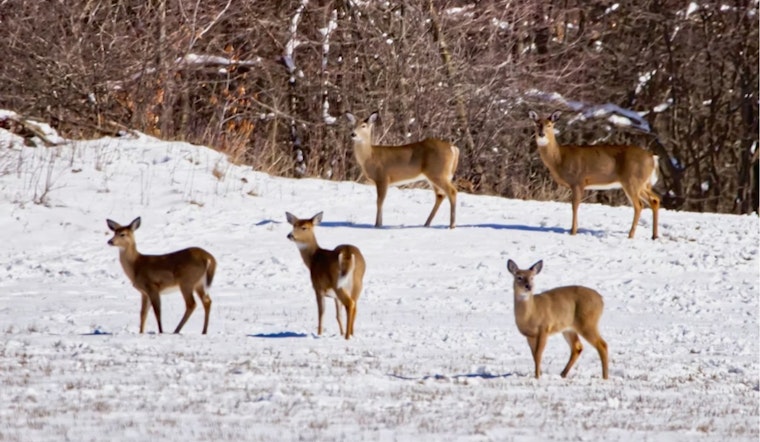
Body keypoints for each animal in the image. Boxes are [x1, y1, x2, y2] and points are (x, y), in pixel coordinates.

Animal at [286, 211, 366, 340]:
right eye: (294, 225)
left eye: (304, 227)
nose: (289, 235)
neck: (313, 259)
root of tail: (347, 254)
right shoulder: (335, 297)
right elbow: (338, 315)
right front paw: (340, 333)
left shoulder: (318, 288)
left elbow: (321, 312)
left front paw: (319, 334)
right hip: (358, 282)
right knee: (354, 306)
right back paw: (351, 334)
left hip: (338, 283)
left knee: (349, 304)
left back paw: (347, 337)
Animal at [528, 110, 661, 239]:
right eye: (537, 124)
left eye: (550, 125)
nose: (541, 134)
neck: (559, 158)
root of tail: (653, 158)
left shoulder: (578, 180)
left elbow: (574, 205)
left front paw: (573, 231)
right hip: (642, 183)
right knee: (655, 200)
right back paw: (654, 235)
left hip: (632, 180)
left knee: (639, 205)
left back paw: (631, 235)